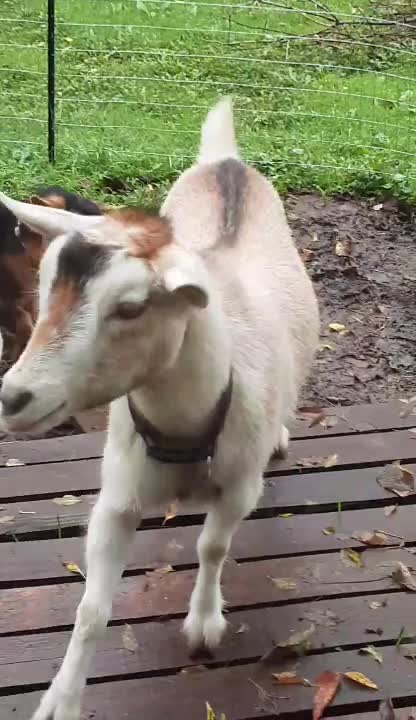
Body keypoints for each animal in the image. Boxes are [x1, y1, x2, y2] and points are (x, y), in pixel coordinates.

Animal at [0, 97, 319, 720]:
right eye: (43, 284)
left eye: (130, 307)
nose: (11, 397)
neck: (184, 428)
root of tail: (226, 162)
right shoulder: (117, 496)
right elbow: (90, 610)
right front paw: (60, 701)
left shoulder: (239, 487)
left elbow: (212, 545)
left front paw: (203, 624)